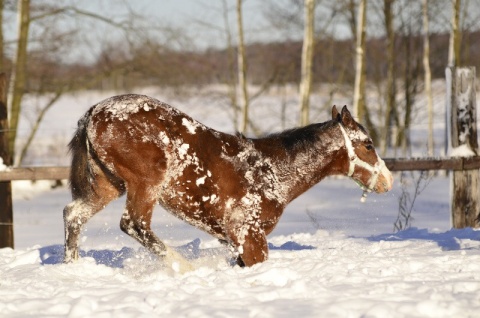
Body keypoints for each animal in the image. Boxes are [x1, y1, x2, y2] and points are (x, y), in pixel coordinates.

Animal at [63, 94, 394, 268]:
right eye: (368, 144)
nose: (388, 181)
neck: (273, 172)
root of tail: (94, 112)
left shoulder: (233, 242)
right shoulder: (249, 235)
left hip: (109, 185)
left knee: (73, 215)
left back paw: (73, 266)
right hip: (145, 184)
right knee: (134, 224)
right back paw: (182, 268)